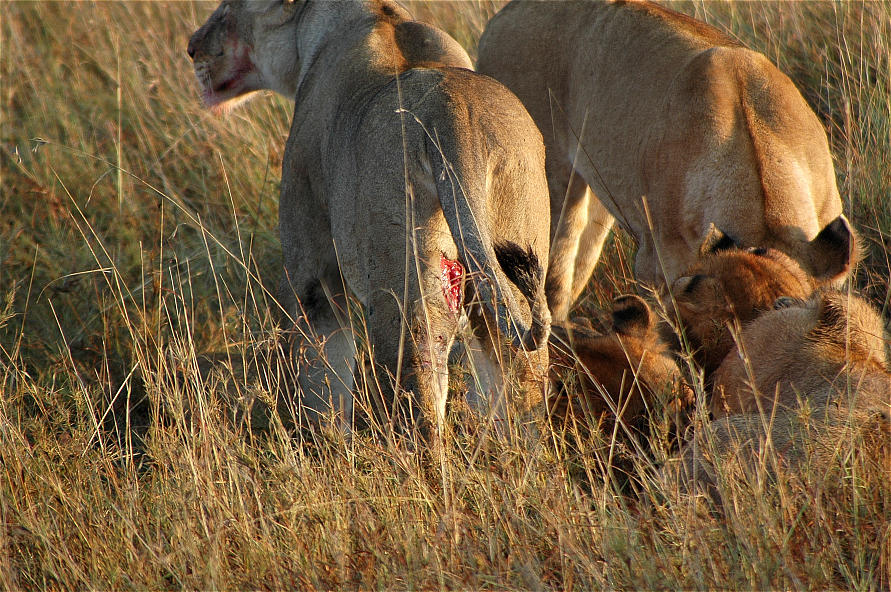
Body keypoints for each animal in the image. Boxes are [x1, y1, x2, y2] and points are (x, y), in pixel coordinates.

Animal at [188, 0, 552, 437]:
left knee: (420, 403)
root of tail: (453, 119)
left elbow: (322, 380)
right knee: (523, 393)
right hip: (503, 264)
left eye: (225, 10)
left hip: (404, 288)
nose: (191, 48)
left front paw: (328, 446)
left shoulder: (312, 268)